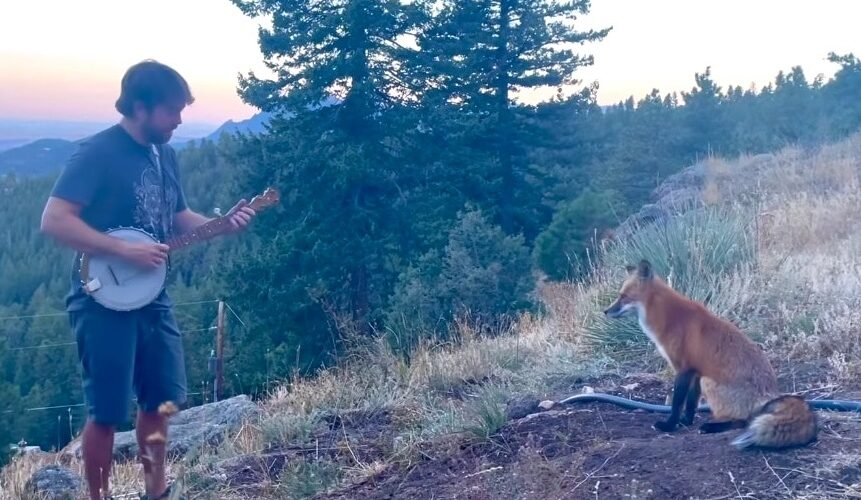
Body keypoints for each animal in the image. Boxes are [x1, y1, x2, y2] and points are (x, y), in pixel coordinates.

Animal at [602, 259, 818, 450]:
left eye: (623, 296)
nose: (605, 311)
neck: (670, 317)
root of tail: (768, 396)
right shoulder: (696, 371)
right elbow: (691, 403)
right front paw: (685, 421)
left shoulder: (684, 368)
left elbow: (677, 402)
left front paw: (669, 425)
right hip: (706, 379)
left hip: (710, 383)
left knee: (745, 421)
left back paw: (712, 427)